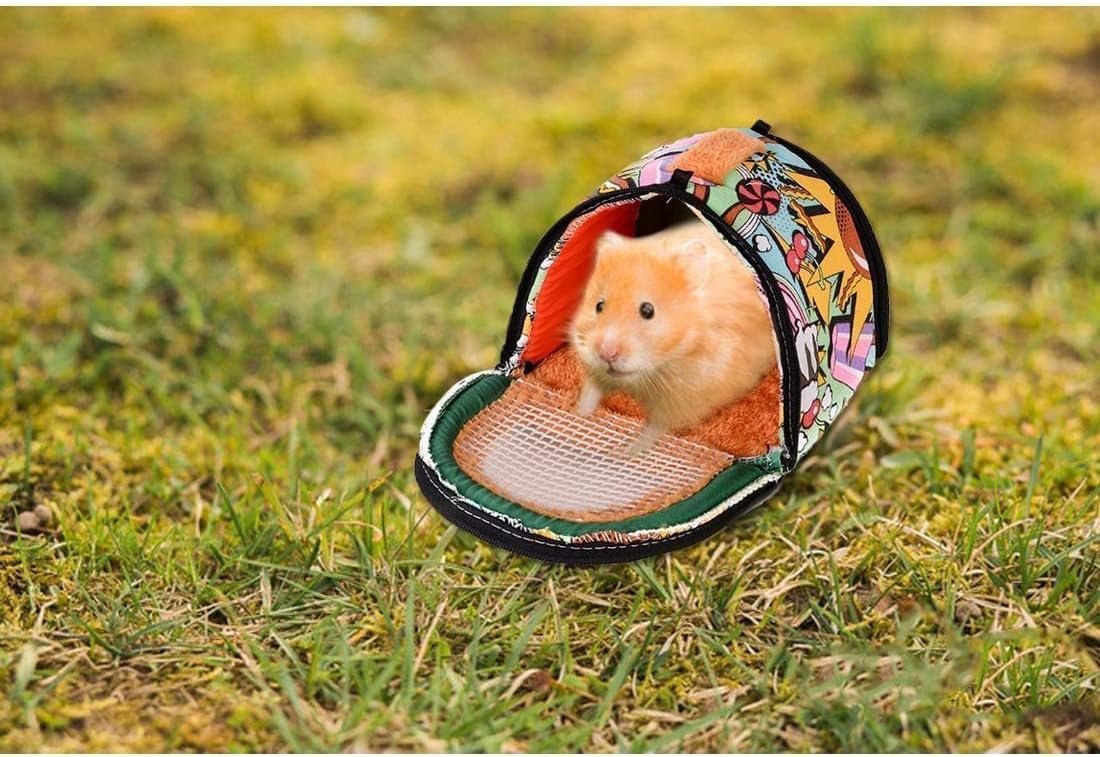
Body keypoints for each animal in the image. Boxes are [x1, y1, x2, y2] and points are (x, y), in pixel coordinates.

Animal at [570, 219, 776, 452]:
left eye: (647, 310)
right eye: (599, 305)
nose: (607, 353)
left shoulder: (682, 401)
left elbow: (655, 428)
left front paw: (628, 452)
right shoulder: (596, 371)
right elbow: (590, 393)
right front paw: (578, 414)